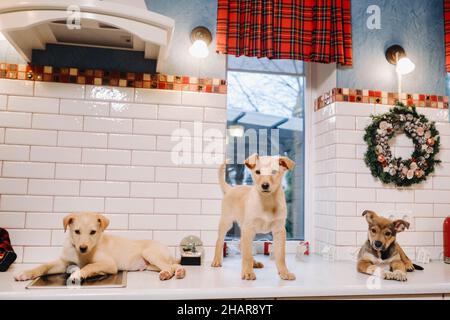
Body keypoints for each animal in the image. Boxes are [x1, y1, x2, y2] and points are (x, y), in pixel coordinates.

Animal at [15, 212, 185, 282]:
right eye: (77, 231)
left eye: (93, 232)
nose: (83, 248)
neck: (82, 255)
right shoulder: (63, 263)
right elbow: (44, 266)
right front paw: (25, 273)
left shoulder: (109, 264)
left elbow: (90, 266)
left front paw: (77, 274)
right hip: (150, 264)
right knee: (174, 265)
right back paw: (179, 271)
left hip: (150, 253)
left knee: (169, 267)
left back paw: (168, 274)